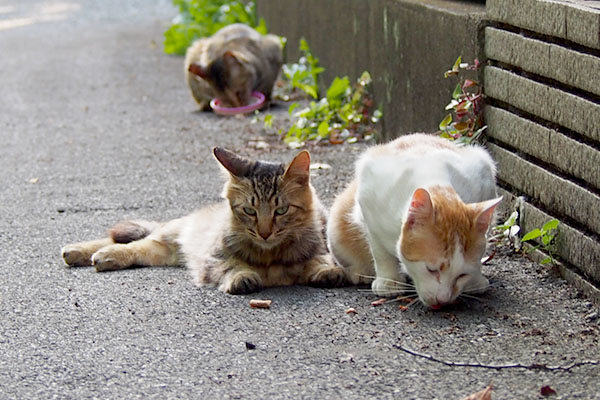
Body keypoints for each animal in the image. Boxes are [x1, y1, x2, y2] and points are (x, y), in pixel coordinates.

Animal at [61, 148, 344, 292]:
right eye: (249, 211)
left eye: (281, 210)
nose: (264, 233)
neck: (270, 256)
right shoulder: (214, 259)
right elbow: (232, 266)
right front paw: (243, 277)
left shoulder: (318, 249)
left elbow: (319, 262)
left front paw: (326, 272)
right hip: (167, 235)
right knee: (126, 242)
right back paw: (84, 252)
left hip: (162, 251)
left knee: (134, 248)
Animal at [328, 134, 502, 310]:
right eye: (431, 269)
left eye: (462, 275)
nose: (443, 300)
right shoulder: (368, 203)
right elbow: (380, 252)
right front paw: (389, 282)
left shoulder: (484, 176)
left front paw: (475, 280)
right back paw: (360, 272)